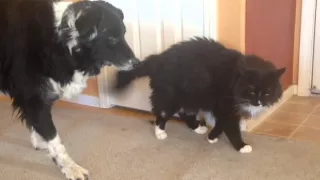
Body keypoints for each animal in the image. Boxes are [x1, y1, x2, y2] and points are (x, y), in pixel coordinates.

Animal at [0, 0, 140, 179]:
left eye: (124, 34)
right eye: (112, 38)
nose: (137, 63)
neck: (62, 42)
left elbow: (36, 125)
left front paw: (40, 142)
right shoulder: (33, 97)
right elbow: (55, 141)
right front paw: (70, 167)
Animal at [113, 37, 284, 154]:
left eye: (268, 91)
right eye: (252, 90)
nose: (259, 102)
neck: (235, 79)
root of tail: (158, 59)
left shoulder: (222, 108)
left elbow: (221, 124)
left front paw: (212, 137)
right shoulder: (225, 106)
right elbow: (231, 127)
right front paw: (241, 146)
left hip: (193, 96)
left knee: (185, 113)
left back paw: (198, 128)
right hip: (171, 96)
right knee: (162, 113)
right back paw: (160, 132)